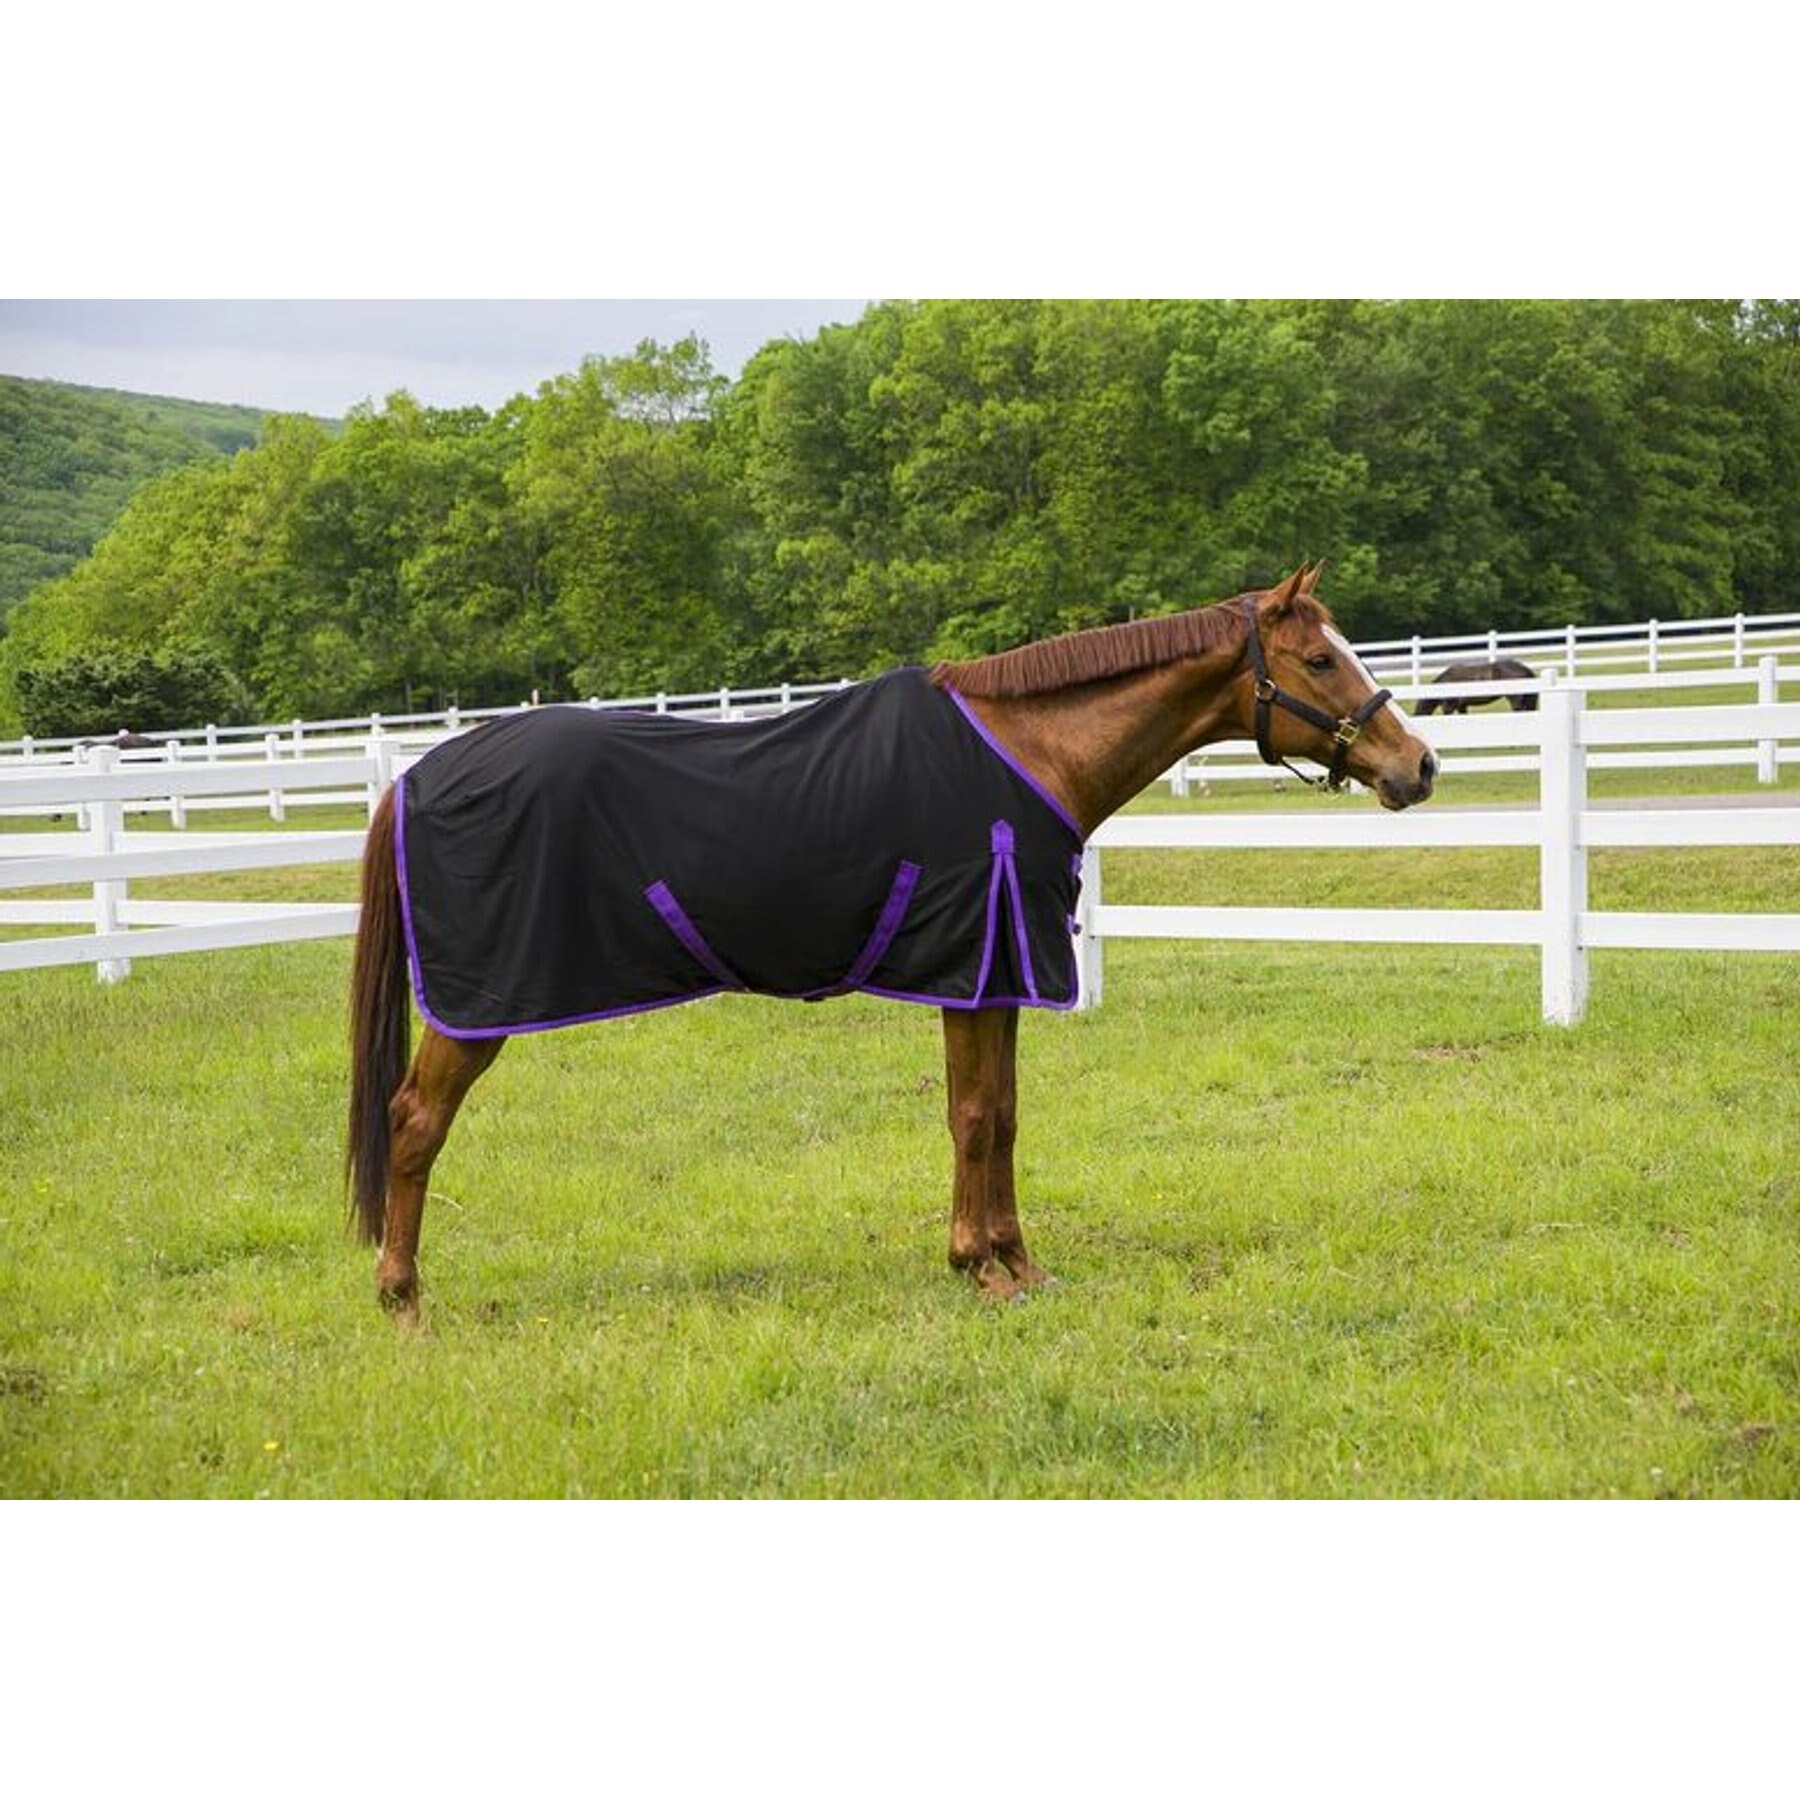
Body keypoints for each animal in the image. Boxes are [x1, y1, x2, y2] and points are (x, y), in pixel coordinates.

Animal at [345, 563, 1439, 1321]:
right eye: (1319, 659)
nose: (1419, 766)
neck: (1026, 753)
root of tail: (419, 777)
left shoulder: (998, 978)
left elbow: (1003, 1116)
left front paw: (1018, 1263)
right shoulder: (974, 967)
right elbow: (973, 1118)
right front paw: (979, 1270)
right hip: (478, 1007)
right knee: (413, 1120)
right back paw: (402, 1299)